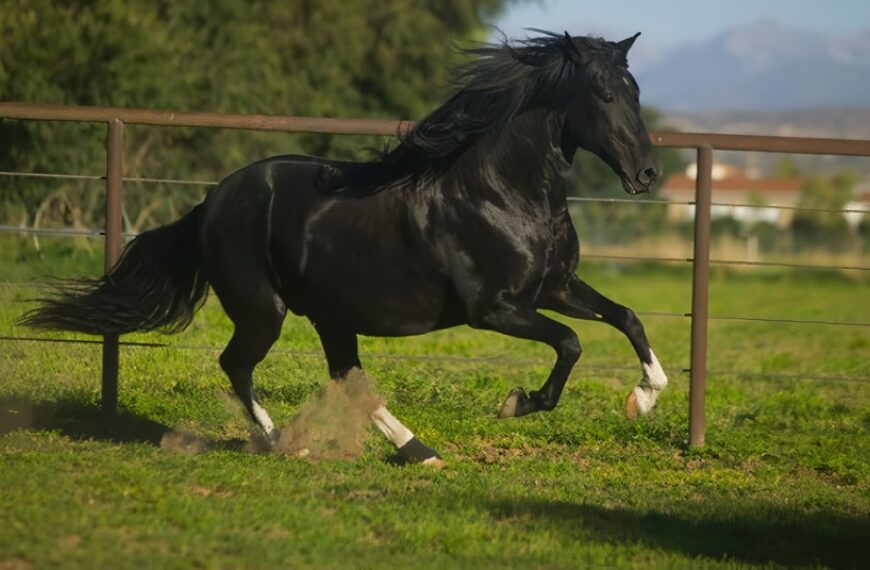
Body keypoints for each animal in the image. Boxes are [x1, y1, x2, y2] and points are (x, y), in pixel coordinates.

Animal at [25, 31, 668, 464]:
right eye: (604, 94)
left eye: (636, 91)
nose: (647, 173)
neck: (501, 192)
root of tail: (210, 202)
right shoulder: (495, 309)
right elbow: (571, 343)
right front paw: (518, 403)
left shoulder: (554, 287)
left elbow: (627, 318)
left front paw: (644, 398)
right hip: (265, 310)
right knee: (238, 364)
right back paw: (281, 441)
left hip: (331, 313)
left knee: (346, 375)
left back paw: (419, 451)